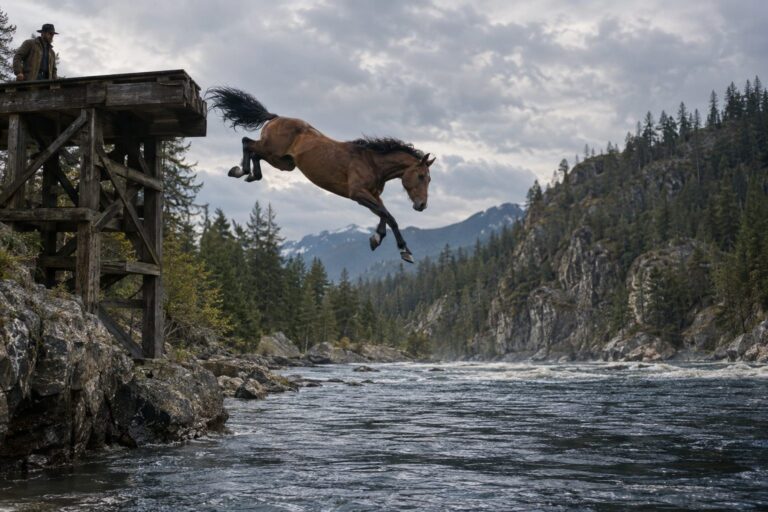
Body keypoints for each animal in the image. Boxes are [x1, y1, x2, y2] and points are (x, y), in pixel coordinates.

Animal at [207, 87, 435, 263]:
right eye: (421, 176)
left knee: (254, 152)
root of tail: (275, 117)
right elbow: (389, 216)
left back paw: (251, 175)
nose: (422, 205)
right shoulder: (357, 194)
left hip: (282, 162)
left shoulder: (372, 195)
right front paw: (405, 251)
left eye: (429, 178)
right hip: (272, 150)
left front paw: (377, 239)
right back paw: (240, 171)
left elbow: (383, 214)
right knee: (247, 142)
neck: (371, 162)